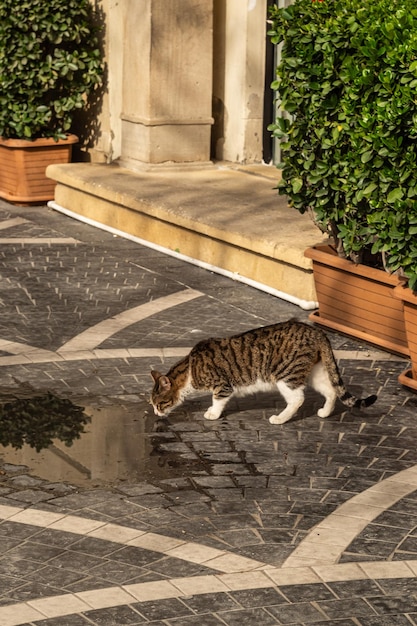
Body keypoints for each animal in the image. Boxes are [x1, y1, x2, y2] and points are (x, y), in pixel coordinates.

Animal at [150, 316, 376, 424]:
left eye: (159, 404)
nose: (155, 413)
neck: (190, 369)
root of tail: (316, 331)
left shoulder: (222, 386)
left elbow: (217, 400)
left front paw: (213, 413)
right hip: (314, 372)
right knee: (330, 391)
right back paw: (324, 413)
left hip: (285, 375)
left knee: (298, 399)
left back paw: (280, 419)